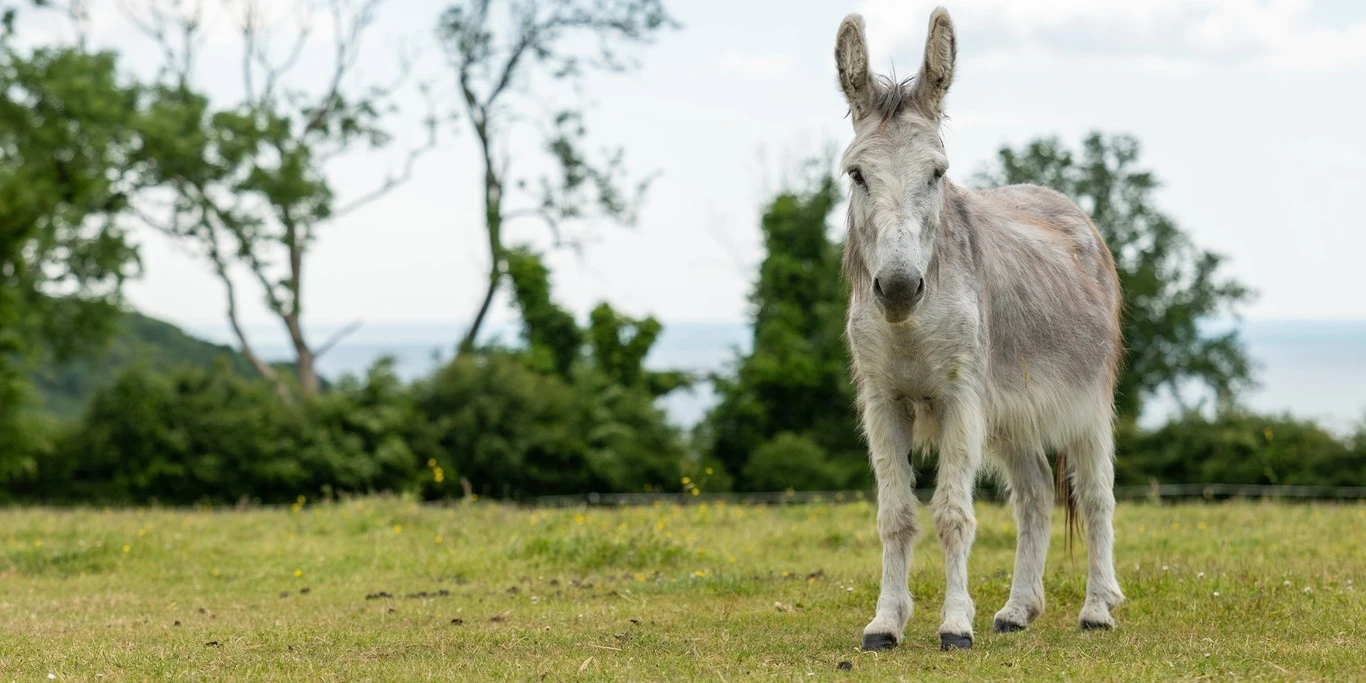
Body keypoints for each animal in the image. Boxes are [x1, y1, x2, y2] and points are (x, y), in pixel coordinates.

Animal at [832, 7, 1126, 652]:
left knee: (1095, 495)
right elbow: (895, 515)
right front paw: (885, 624)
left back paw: (1097, 609)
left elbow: (952, 514)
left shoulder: (960, 398)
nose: (897, 286)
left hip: (1089, 404)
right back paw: (1017, 611)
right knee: (1036, 495)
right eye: (857, 174)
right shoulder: (883, 401)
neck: (909, 327)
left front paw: (954, 625)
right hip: (1016, 414)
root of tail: (1066, 206)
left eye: (938, 173)